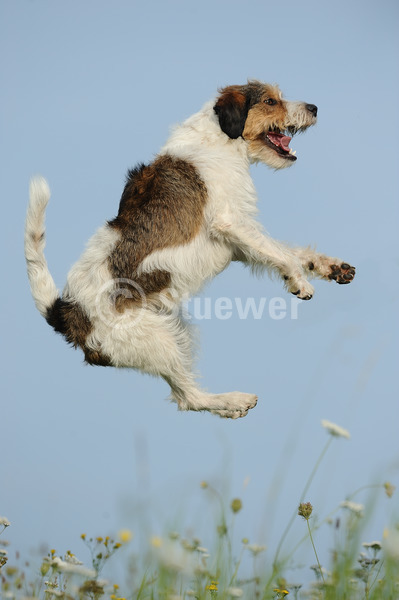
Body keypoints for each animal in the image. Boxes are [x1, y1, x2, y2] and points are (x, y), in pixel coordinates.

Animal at [25, 78, 356, 418]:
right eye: (269, 101)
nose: (314, 108)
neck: (220, 139)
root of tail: (65, 311)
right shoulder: (231, 223)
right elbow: (283, 255)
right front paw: (300, 283)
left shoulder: (239, 245)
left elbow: (286, 250)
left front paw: (330, 267)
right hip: (159, 340)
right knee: (188, 398)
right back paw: (233, 401)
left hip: (173, 328)